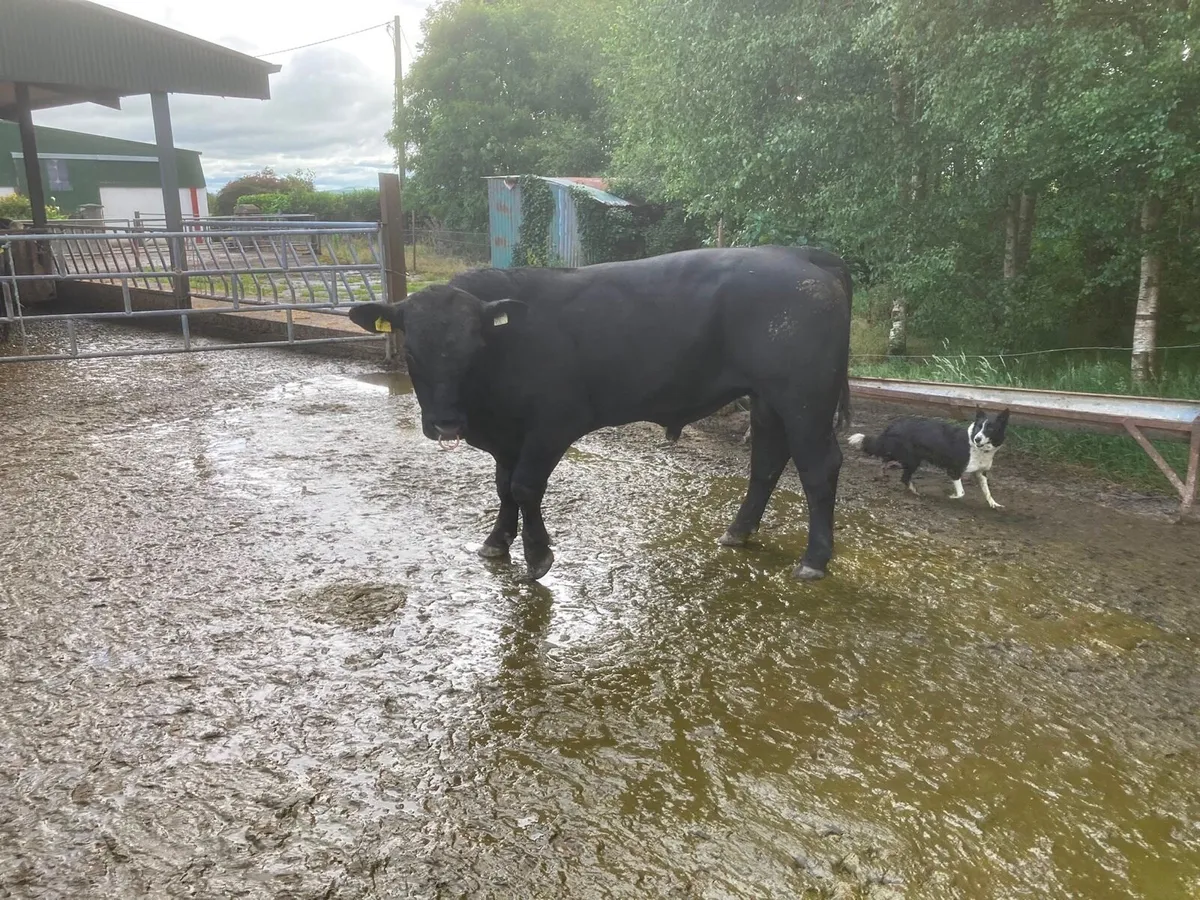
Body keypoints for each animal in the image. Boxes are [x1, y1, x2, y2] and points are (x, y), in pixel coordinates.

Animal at [347, 245, 852, 582]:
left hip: (805, 399)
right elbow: (503, 488)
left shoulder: (553, 425)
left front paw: (537, 556)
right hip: (767, 400)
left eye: (474, 349)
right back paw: (738, 531)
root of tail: (798, 256)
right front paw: (496, 542)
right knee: (767, 462)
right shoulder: (506, 436)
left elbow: (525, 487)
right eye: (411, 350)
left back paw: (814, 559)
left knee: (818, 468)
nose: (446, 423)